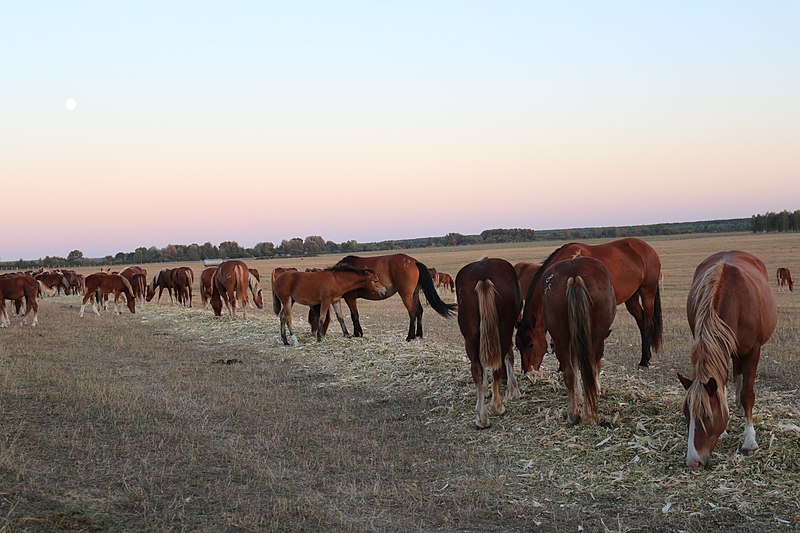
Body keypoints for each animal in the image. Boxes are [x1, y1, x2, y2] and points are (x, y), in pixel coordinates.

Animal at [456, 258, 524, 428]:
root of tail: (483, 276)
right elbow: (509, 357)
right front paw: (514, 390)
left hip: (470, 336)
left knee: (476, 368)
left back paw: (481, 417)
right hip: (504, 330)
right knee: (498, 365)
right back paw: (497, 407)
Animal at [516, 237, 660, 370]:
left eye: (531, 344)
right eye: (517, 345)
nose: (527, 371)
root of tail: (648, 248)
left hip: (648, 292)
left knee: (648, 323)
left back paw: (644, 362)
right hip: (632, 298)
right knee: (641, 322)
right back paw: (646, 357)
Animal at [540, 256, 616, 424]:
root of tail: (574, 275)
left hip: (561, 336)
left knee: (569, 373)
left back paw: (573, 415)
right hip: (594, 337)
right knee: (590, 370)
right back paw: (588, 415)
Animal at [680, 251, 780, 468]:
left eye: (707, 417)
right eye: (686, 414)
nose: (693, 462)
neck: (735, 299)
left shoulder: (753, 351)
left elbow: (747, 394)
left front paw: (750, 442)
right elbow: (721, 385)